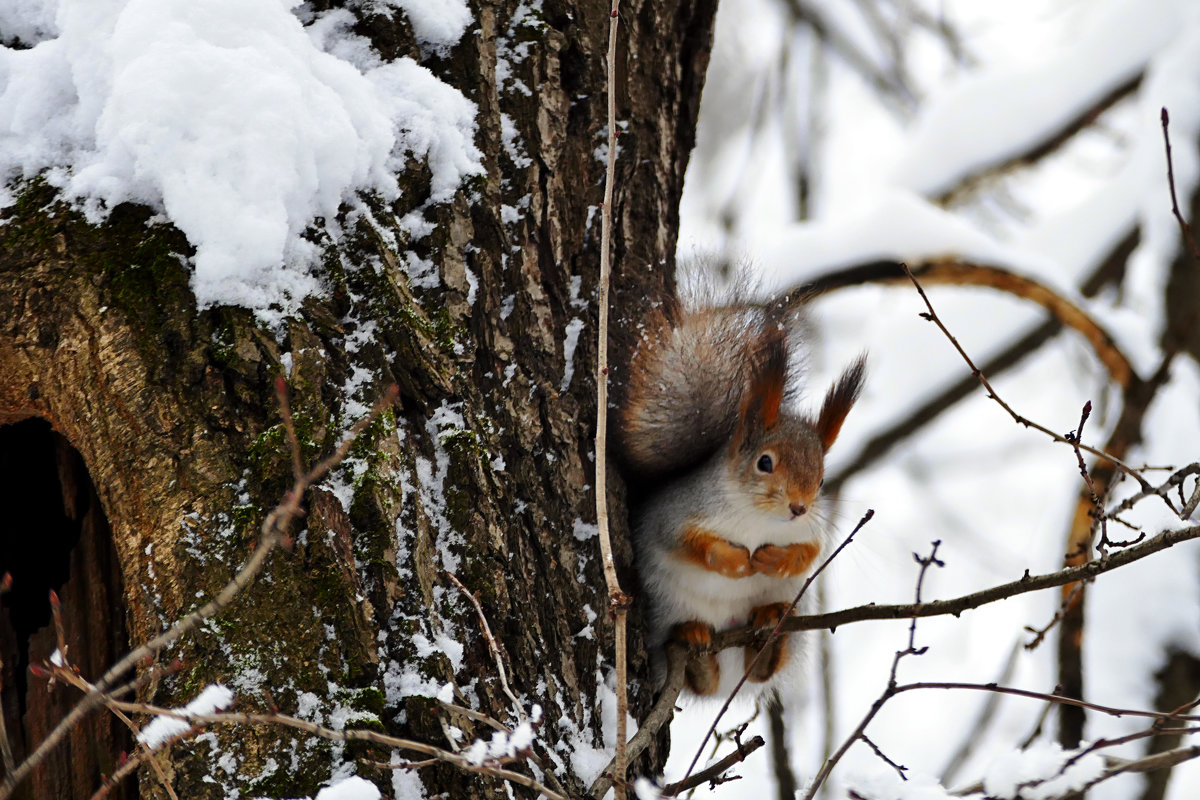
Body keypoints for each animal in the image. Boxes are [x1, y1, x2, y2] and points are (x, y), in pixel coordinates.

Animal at [619, 287, 864, 700]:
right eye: (764, 463)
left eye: (821, 480)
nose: (798, 507)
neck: (758, 520)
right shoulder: (676, 514)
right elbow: (687, 542)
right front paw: (736, 562)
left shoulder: (810, 530)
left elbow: (810, 552)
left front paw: (777, 560)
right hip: (665, 611)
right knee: (700, 680)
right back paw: (695, 643)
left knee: (762, 670)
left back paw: (769, 633)